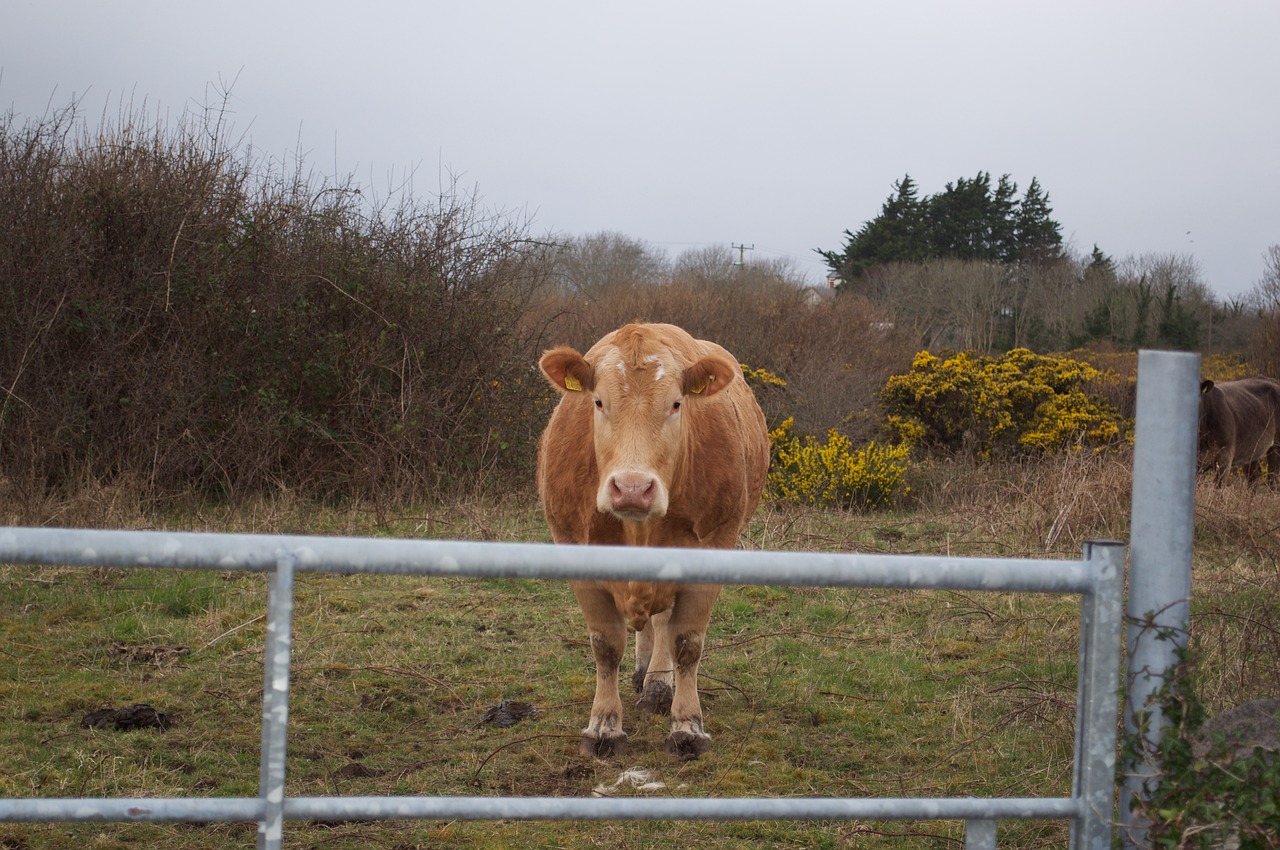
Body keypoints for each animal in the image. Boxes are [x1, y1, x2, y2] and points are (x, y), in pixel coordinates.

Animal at [532, 323, 762, 757]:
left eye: (676, 404)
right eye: (599, 402)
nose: (633, 489)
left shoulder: (715, 544)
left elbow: (687, 642)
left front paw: (687, 725)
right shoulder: (573, 545)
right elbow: (605, 645)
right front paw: (604, 726)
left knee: (664, 623)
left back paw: (657, 684)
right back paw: (644, 674)